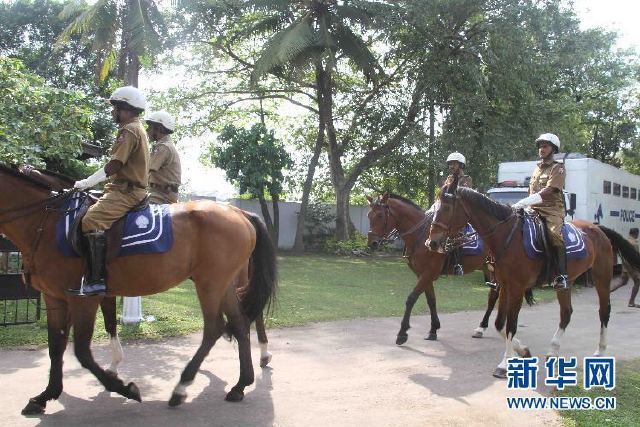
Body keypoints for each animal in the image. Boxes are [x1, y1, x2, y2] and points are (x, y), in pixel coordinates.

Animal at [0, 166, 276, 416]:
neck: (48, 222)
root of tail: (239, 213)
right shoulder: (55, 298)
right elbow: (57, 347)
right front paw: (45, 395)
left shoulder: (83, 300)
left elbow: (82, 352)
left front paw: (124, 388)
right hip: (224, 284)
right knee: (239, 322)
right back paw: (241, 384)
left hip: (211, 284)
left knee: (215, 328)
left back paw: (182, 387)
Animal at [364, 194, 500, 344]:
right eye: (369, 215)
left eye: (380, 215)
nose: (372, 243)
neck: (421, 237)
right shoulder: (422, 275)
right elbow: (431, 301)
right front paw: (433, 330)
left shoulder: (428, 274)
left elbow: (411, 299)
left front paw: (402, 333)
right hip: (488, 268)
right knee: (493, 295)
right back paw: (481, 328)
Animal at [424, 179, 640, 380]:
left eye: (445, 208)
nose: (431, 242)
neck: (507, 236)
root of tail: (598, 229)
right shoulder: (505, 286)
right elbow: (500, 324)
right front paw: (522, 351)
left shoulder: (517, 288)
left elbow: (510, 324)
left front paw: (504, 364)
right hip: (566, 282)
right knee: (566, 313)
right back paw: (553, 350)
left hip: (601, 277)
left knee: (604, 311)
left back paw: (600, 350)